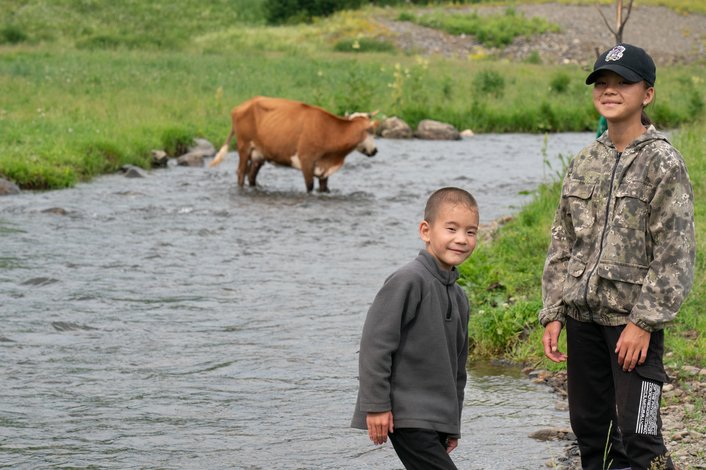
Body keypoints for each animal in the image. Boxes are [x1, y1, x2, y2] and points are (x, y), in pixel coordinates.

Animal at [206, 96, 376, 192]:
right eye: (371, 131)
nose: (375, 150)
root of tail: (240, 106)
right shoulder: (306, 160)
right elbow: (309, 186)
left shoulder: (324, 169)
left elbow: (324, 188)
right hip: (244, 147)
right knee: (241, 173)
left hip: (259, 155)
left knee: (251, 176)